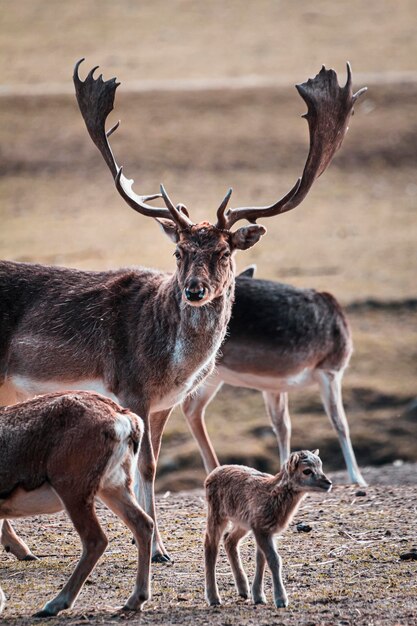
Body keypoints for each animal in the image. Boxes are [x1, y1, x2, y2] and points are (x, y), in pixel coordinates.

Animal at [0, 390, 153, 616]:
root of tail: (123, 417)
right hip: (114, 487)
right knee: (144, 524)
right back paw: (135, 600)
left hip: (73, 492)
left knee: (96, 539)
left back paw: (55, 604)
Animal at [182, 264, 364, 482]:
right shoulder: (330, 370)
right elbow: (340, 422)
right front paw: (358, 479)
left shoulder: (274, 385)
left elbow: (282, 426)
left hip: (213, 376)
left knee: (191, 409)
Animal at [204, 446, 332, 608]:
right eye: (307, 471)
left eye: (320, 466)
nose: (328, 483)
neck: (272, 495)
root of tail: (212, 474)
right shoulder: (261, 529)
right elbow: (274, 560)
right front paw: (281, 600)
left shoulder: (266, 530)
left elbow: (261, 560)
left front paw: (259, 597)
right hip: (217, 515)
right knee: (210, 545)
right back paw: (214, 598)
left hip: (242, 523)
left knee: (229, 540)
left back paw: (243, 590)